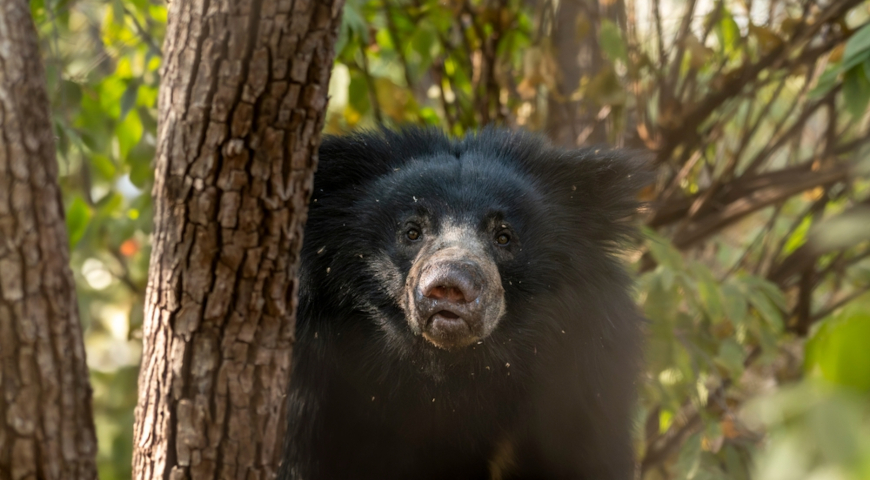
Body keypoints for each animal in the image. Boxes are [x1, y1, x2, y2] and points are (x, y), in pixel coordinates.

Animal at [278, 127, 648, 480]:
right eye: (412, 232)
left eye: (504, 237)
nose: (450, 286)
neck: (451, 373)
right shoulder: (315, 394)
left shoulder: (581, 385)